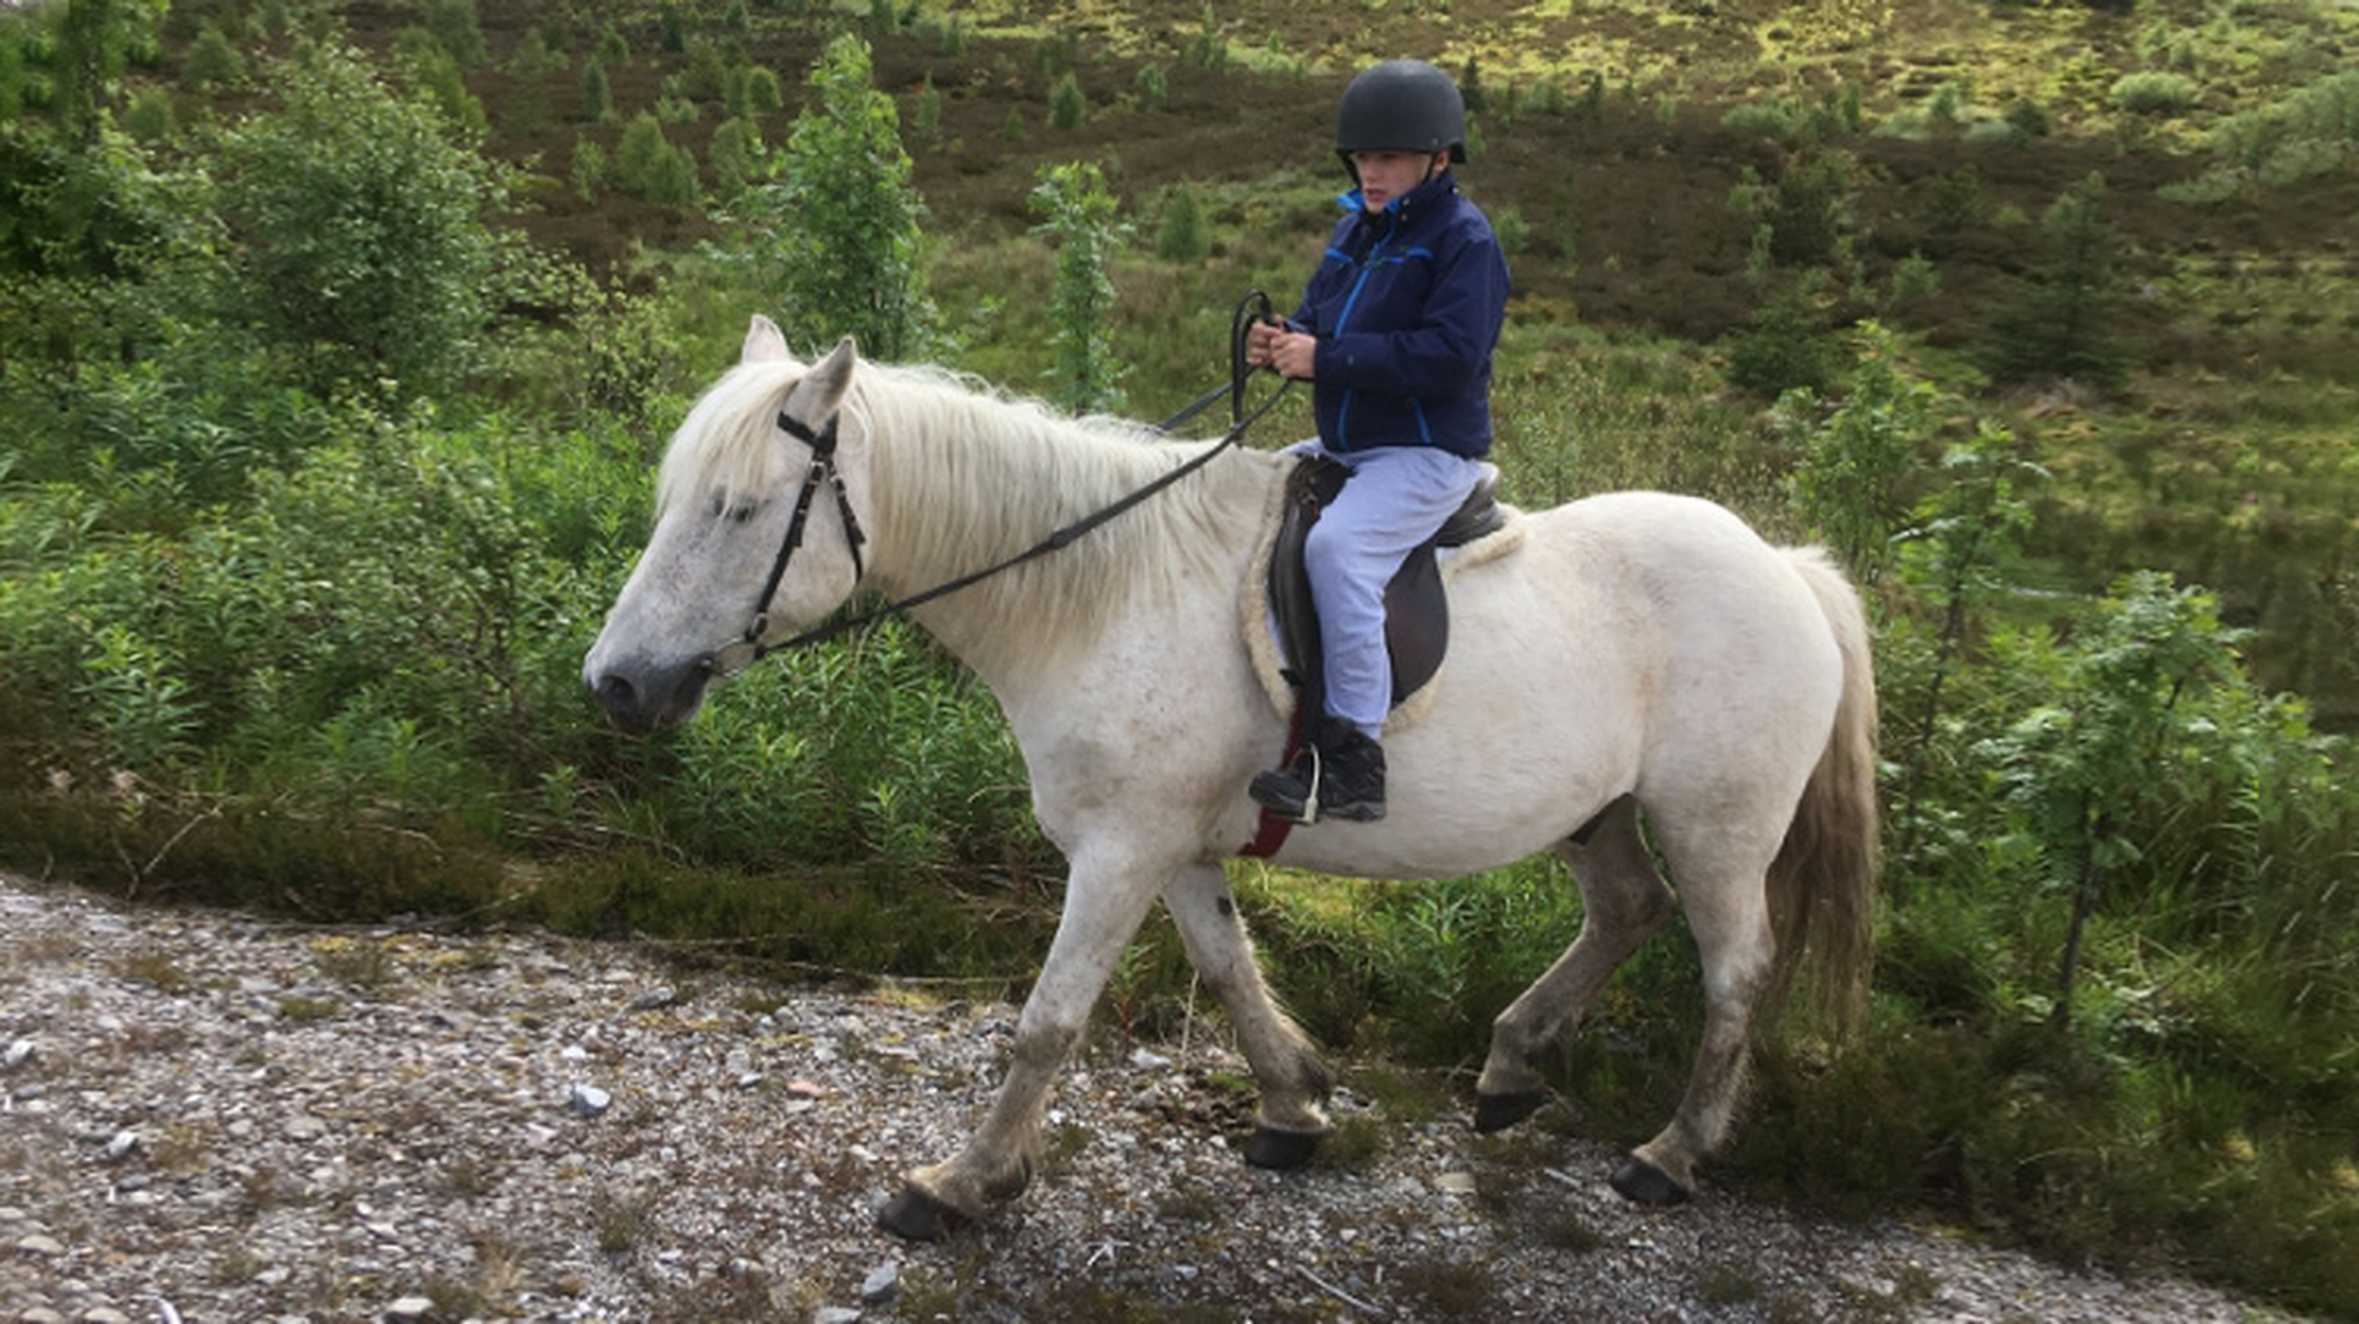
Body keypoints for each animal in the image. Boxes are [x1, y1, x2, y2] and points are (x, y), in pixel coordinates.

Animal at [585, 318, 1877, 1236]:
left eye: (739, 509)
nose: (615, 686)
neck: (1099, 591)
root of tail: (1786, 566)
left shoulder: (1117, 852)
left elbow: (1048, 1022)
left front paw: (961, 1182)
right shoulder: (1170, 844)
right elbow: (1227, 966)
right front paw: (1293, 1104)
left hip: (1717, 827)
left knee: (1732, 969)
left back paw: (1671, 1154)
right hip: (1597, 812)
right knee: (1624, 909)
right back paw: (1511, 1067)